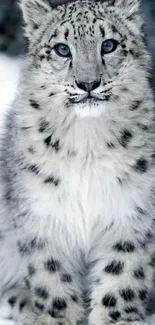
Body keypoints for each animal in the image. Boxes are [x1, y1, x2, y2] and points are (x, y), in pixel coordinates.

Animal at [0, 1, 154, 324]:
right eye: (62, 49)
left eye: (108, 44)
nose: (88, 83)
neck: (87, 143)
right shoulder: (44, 215)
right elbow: (52, 274)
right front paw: (59, 317)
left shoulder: (130, 212)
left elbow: (121, 275)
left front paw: (113, 319)